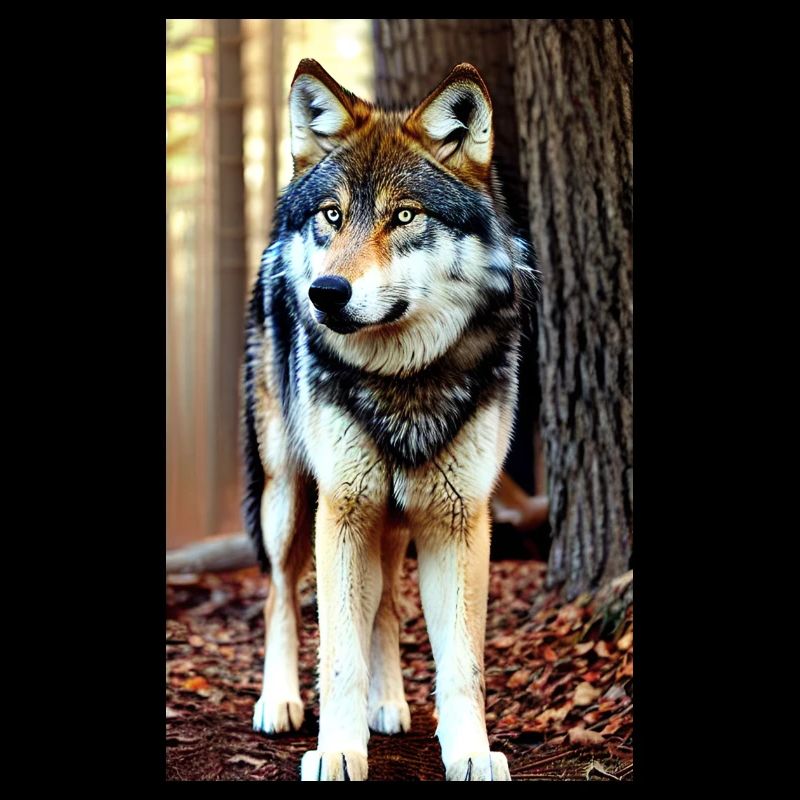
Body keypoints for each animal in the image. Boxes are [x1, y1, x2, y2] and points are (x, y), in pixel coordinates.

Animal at [242, 58, 537, 781]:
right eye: (332, 215)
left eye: (403, 216)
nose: (325, 293)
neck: (404, 381)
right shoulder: (343, 509)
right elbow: (338, 655)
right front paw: (337, 752)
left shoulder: (459, 518)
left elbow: (462, 663)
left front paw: (471, 752)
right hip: (289, 495)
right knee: (279, 594)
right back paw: (279, 701)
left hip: (396, 516)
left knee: (385, 605)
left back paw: (389, 704)